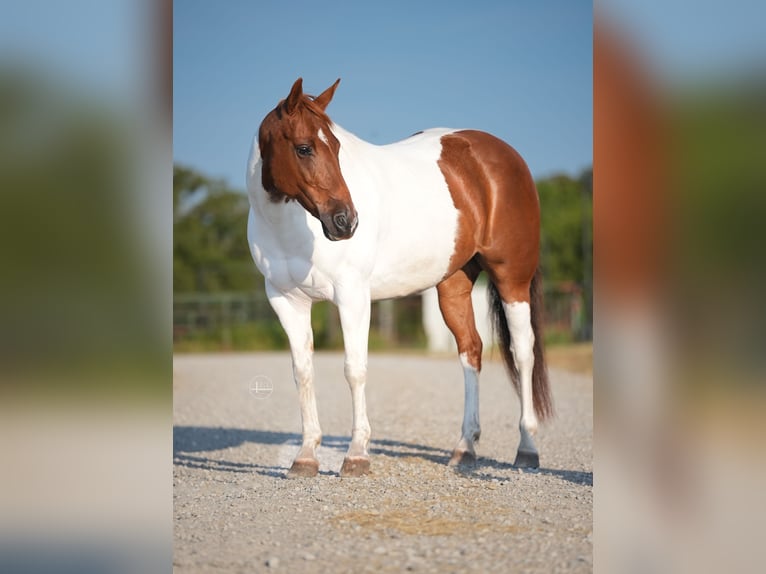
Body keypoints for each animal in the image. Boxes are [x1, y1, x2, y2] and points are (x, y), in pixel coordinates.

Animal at [249, 79, 556, 480]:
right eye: (304, 148)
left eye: (337, 147)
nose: (346, 221)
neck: (289, 228)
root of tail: (505, 156)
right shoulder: (286, 301)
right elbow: (303, 373)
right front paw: (305, 456)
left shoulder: (352, 296)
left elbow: (354, 369)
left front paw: (356, 454)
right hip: (453, 286)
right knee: (471, 351)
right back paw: (464, 449)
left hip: (512, 279)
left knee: (522, 353)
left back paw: (527, 448)